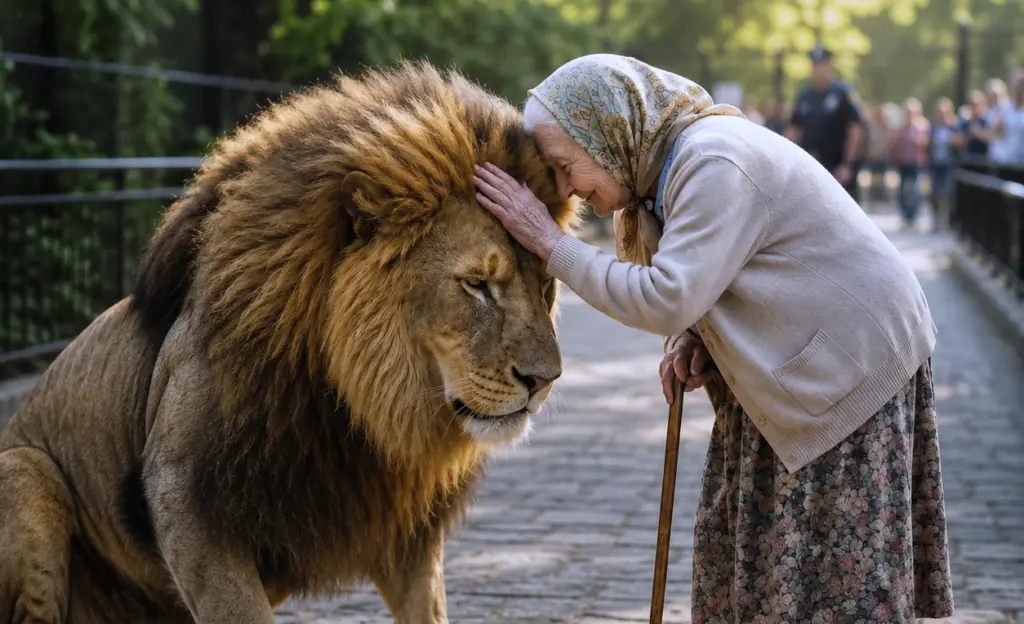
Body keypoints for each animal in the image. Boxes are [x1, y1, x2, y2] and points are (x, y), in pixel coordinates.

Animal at [0, 61, 579, 623]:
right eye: (477, 285)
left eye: (545, 285)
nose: (544, 380)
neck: (360, 406)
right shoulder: (183, 499)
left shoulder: (400, 527)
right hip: (24, 469)